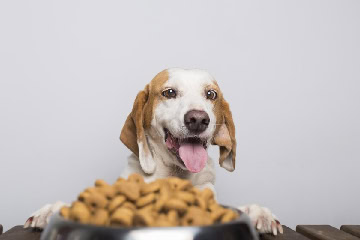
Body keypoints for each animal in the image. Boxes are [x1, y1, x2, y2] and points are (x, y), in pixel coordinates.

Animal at [25, 68, 284, 235]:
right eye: (169, 92)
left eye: (211, 94)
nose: (198, 119)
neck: (173, 174)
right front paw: (50, 210)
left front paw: (259, 212)